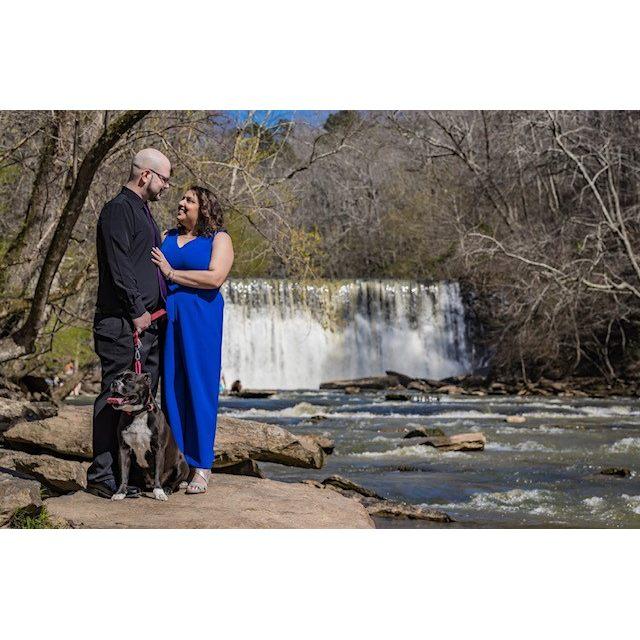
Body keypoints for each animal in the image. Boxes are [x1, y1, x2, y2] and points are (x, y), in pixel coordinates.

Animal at [105, 370, 189, 500]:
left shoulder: (158, 449)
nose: (114, 383)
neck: (137, 413)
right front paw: (120, 492)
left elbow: (158, 473)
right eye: (116, 378)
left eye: (129, 380)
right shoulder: (124, 450)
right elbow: (124, 473)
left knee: (175, 482)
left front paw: (159, 492)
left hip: (182, 464)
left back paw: (167, 488)